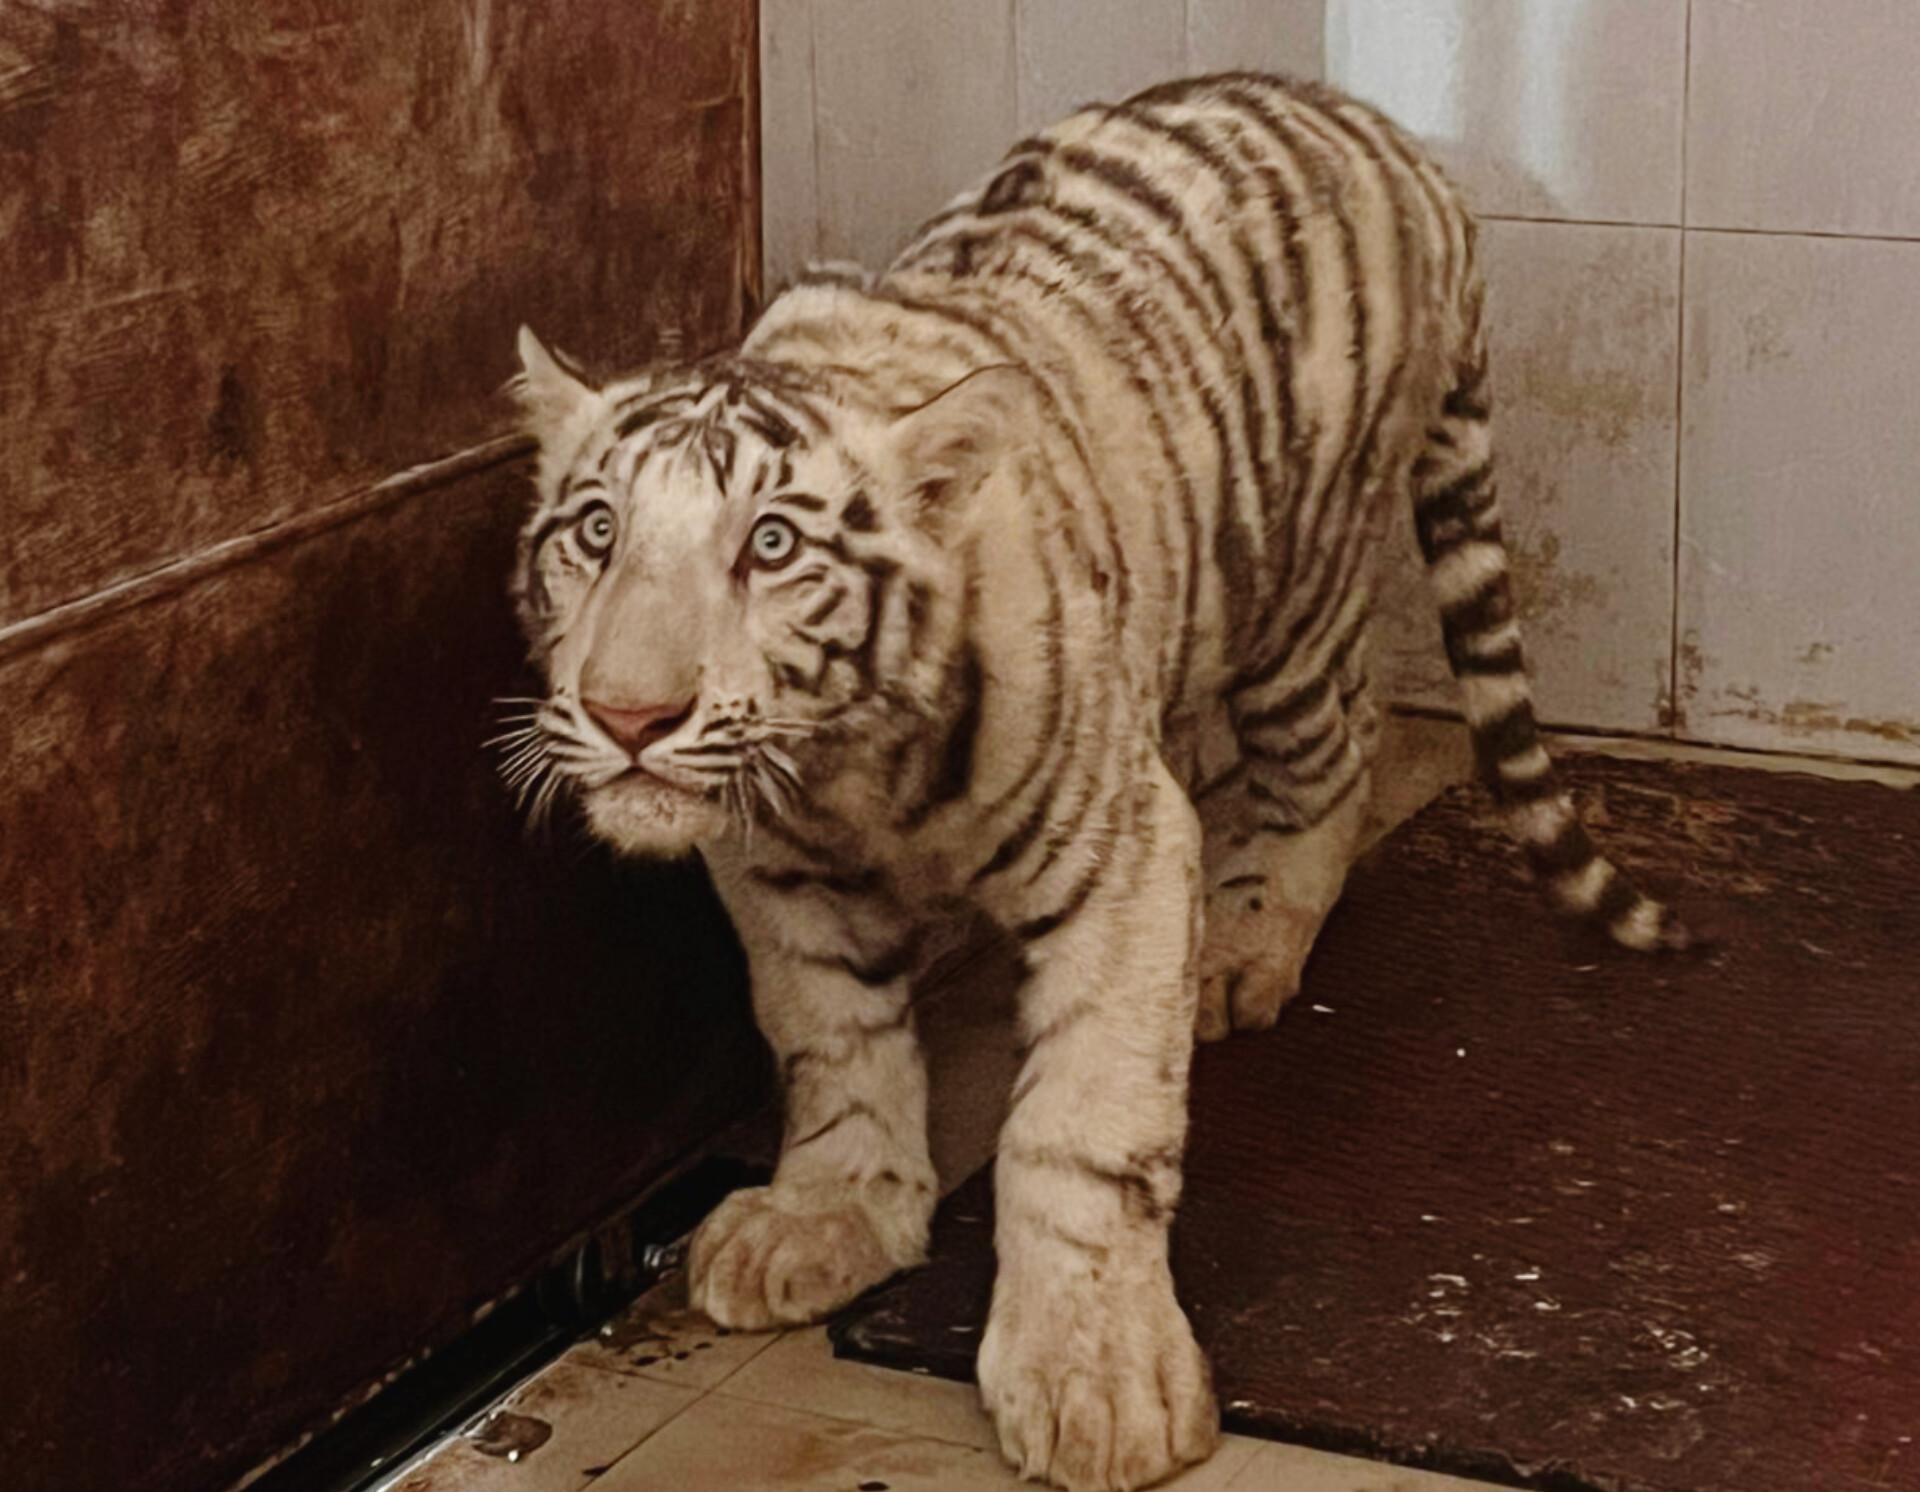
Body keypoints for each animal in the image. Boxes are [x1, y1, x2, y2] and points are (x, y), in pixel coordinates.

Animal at [499, 72, 1681, 1492]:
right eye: (596, 532)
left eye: (770, 545)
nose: (629, 714)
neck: (848, 764)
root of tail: (1396, 140)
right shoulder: (777, 871)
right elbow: (833, 1040)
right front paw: (823, 1218)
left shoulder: (1124, 849)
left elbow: (1080, 1123)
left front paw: (1098, 1378)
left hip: (1294, 591)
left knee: (1338, 751)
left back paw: (1246, 946)